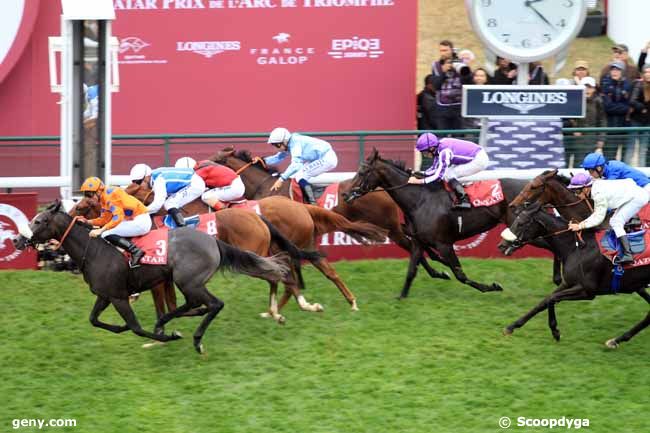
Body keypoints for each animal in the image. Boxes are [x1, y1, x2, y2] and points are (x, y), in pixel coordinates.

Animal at [13, 201, 288, 352]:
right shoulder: (106, 294)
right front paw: (122, 326)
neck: (94, 250)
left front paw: (166, 336)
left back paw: (196, 339)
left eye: (40, 220)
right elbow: (94, 320)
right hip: (187, 282)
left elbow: (136, 328)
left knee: (213, 304)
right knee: (195, 305)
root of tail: (213, 241)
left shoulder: (118, 297)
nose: (17, 240)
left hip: (188, 281)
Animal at [344, 149, 556, 296]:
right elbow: (412, 270)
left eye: (362, 172)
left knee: (552, 244)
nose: (345, 194)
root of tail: (532, 188)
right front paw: (401, 298)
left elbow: (460, 274)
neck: (419, 201)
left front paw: (492, 287)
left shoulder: (444, 244)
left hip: (522, 230)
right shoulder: (418, 241)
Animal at [498, 202, 644, 348]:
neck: (577, 248)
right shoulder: (568, 282)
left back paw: (618, 339)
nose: (501, 245)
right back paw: (618, 339)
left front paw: (555, 331)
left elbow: (552, 298)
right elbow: (544, 301)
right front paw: (511, 327)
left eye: (521, 223)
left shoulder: (587, 291)